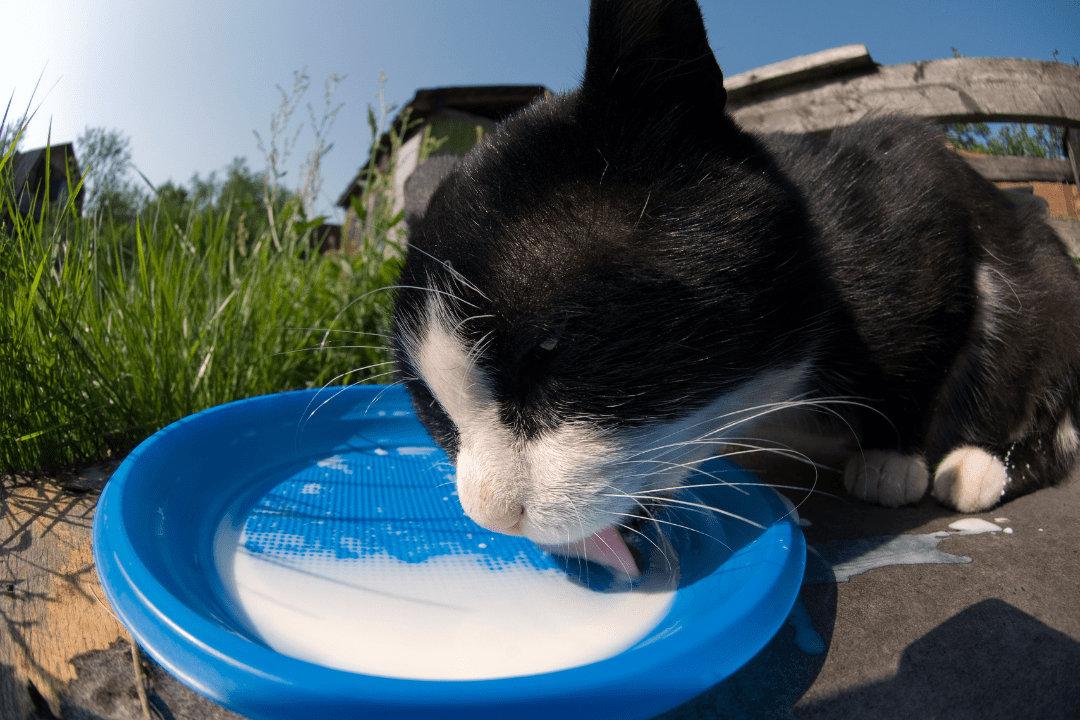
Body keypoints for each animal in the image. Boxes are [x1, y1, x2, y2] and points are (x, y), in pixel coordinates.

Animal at [388, 0, 1080, 561]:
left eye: (549, 351)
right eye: (428, 404)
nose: (492, 514)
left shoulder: (919, 183)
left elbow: (932, 337)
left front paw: (892, 452)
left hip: (1049, 270)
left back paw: (979, 464)